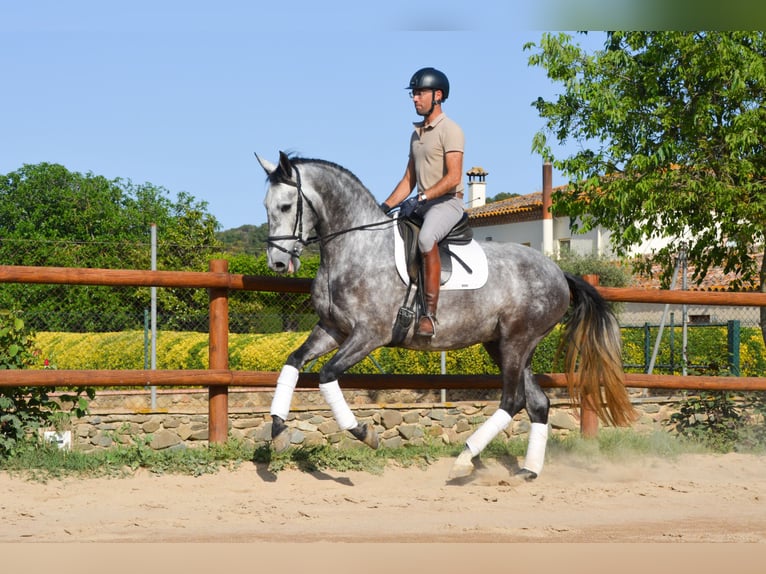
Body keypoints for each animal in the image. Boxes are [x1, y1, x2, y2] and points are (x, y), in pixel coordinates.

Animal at [255, 151, 636, 480]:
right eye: (266, 207)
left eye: (286, 206)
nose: (278, 263)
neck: (356, 248)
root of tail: (559, 273)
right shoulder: (332, 328)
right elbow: (293, 362)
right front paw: (278, 427)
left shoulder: (369, 335)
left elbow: (326, 375)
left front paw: (364, 432)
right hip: (503, 345)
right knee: (538, 403)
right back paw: (527, 471)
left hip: (517, 341)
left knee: (513, 400)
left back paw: (465, 459)